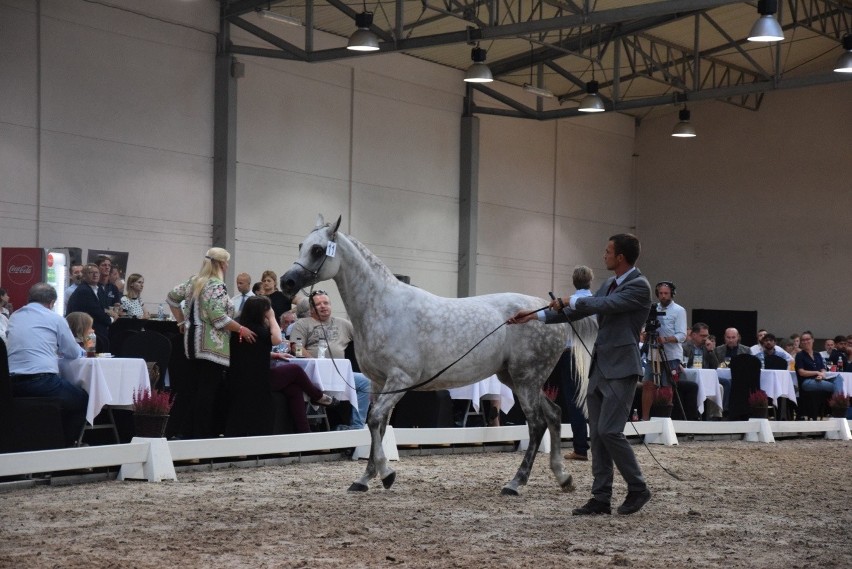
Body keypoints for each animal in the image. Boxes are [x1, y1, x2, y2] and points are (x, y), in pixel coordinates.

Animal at [282, 213, 596, 492]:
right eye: (300, 245)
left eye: (318, 249)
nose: (287, 282)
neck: (383, 307)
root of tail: (548, 312)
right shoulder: (379, 383)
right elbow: (378, 426)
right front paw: (365, 478)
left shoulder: (401, 380)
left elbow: (374, 421)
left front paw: (386, 474)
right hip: (516, 379)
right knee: (554, 415)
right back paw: (563, 477)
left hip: (526, 379)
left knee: (537, 423)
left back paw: (516, 483)